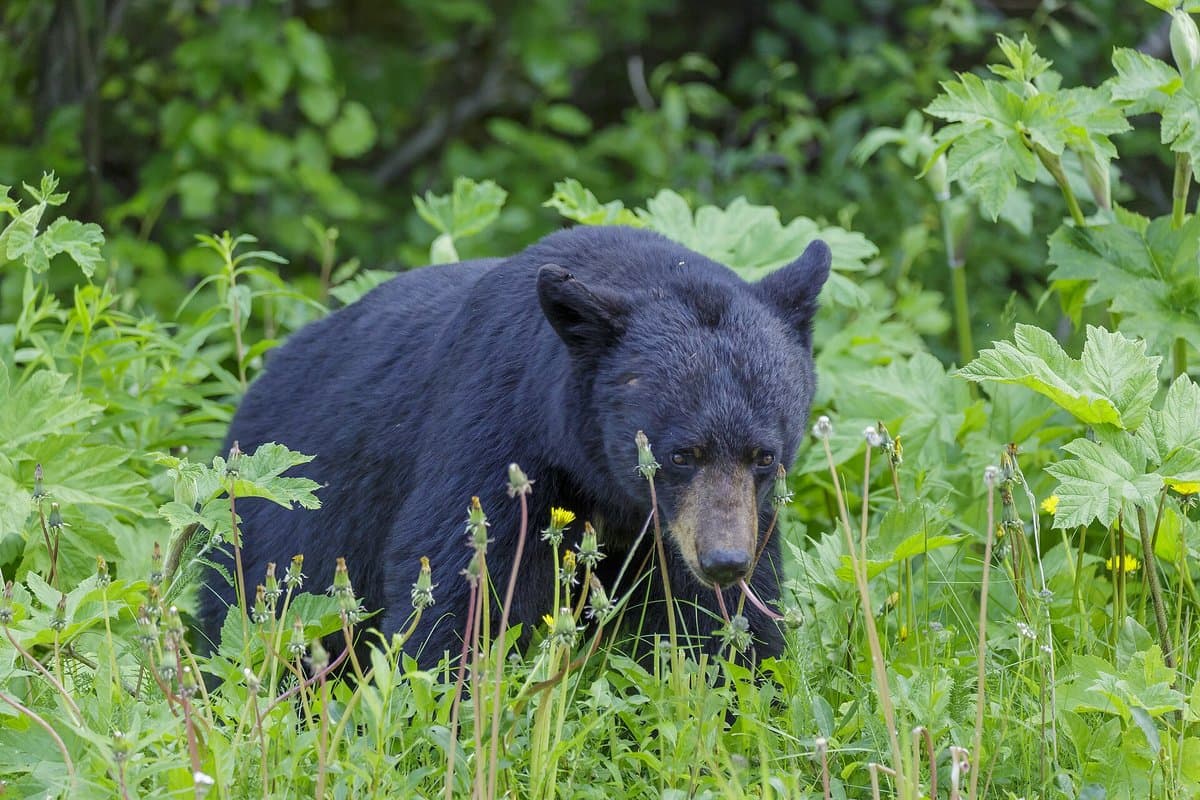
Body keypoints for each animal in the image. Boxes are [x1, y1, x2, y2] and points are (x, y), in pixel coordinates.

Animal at [199, 225, 831, 668]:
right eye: (681, 453)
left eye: (765, 455)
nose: (724, 560)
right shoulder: (495, 430)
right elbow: (459, 578)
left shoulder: (704, 522)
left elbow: (724, 618)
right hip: (279, 525)